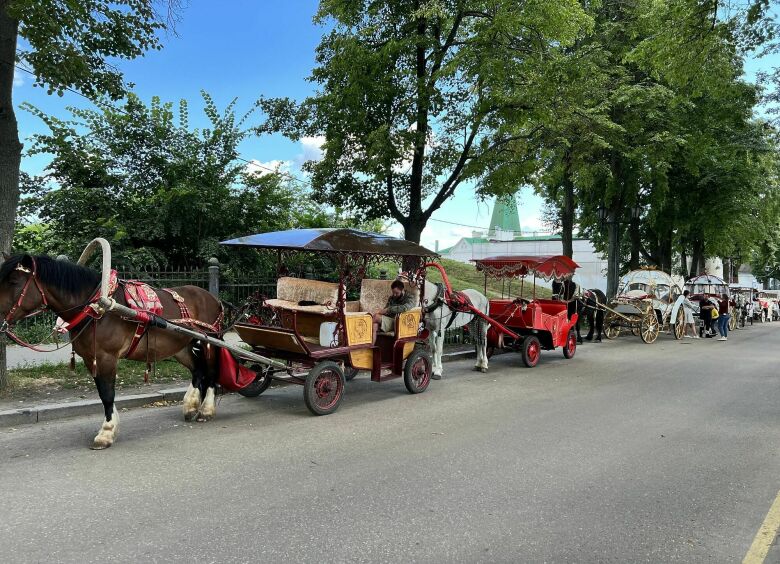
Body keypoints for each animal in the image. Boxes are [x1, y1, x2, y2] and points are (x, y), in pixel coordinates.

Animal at [0, 256, 225, 450]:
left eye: (14, 281)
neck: (96, 308)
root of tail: (213, 298)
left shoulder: (106, 357)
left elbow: (108, 394)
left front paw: (106, 432)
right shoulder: (91, 358)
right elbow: (103, 392)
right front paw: (112, 425)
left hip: (211, 341)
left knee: (211, 372)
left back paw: (206, 410)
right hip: (182, 346)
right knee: (198, 371)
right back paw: (191, 406)